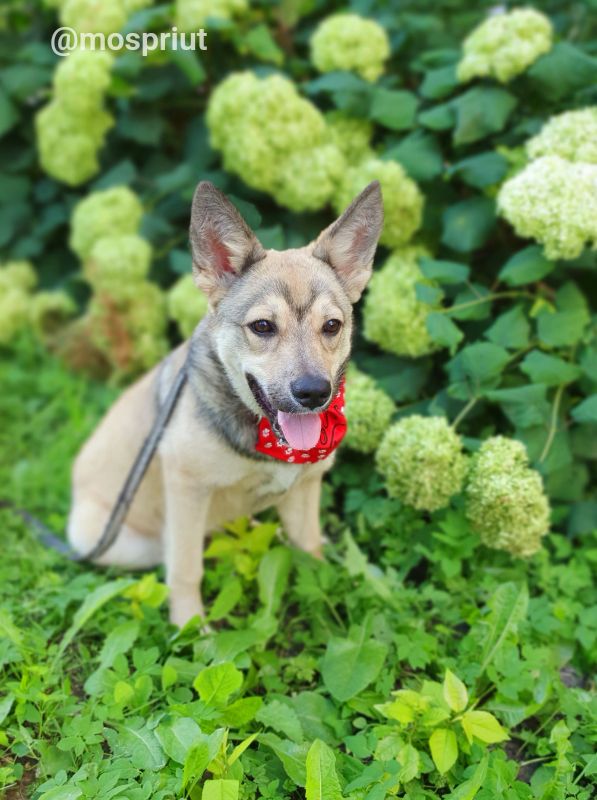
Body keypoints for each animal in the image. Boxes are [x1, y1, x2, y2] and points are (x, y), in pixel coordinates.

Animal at [65, 180, 382, 624]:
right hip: (119, 540)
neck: (264, 438)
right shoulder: (186, 489)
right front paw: (190, 627)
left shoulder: (305, 488)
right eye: (262, 326)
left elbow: (309, 550)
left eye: (332, 325)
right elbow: (186, 570)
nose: (313, 392)